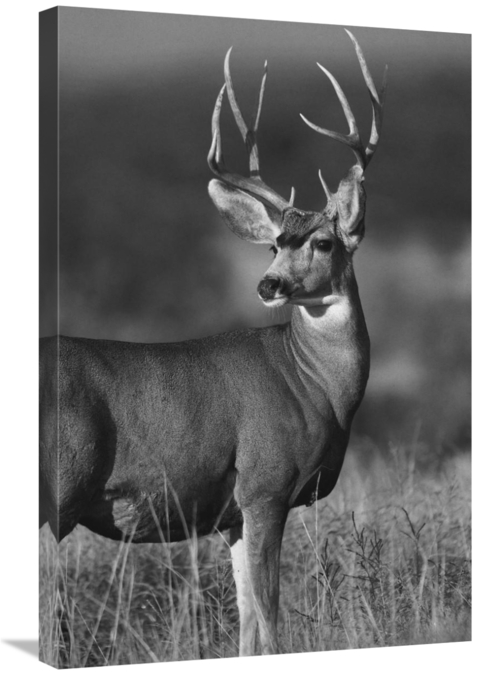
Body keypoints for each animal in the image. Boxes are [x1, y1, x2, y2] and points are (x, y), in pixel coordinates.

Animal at [39, 29, 386, 656]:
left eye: (323, 242)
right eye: (274, 244)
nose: (268, 284)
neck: (316, 387)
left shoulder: (232, 514)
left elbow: (248, 622)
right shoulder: (265, 484)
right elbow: (271, 619)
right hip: (61, 483)